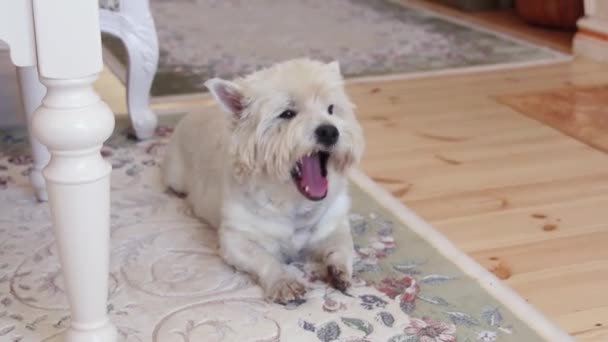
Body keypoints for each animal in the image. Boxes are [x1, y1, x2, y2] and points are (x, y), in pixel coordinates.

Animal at [164, 58, 364, 304]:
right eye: (287, 113)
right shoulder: (236, 239)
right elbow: (265, 260)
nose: (329, 131)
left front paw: (339, 271)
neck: (295, 205)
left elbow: (343, 247)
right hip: (175, 177)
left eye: (331, 109)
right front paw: (284, 282)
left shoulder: (333, 225)